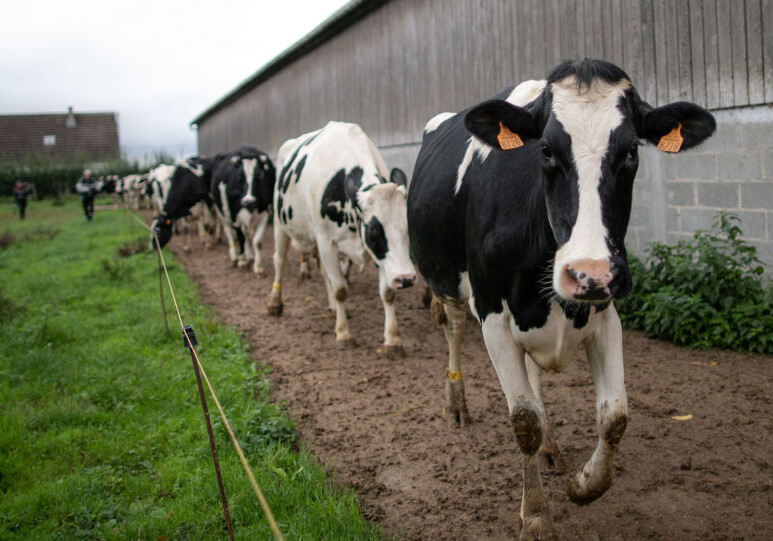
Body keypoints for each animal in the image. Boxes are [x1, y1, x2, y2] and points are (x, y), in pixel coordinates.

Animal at [268, 121, 420, 354]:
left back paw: (332, 307)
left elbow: (387, 293)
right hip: (280, 223)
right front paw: (343, 333)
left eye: (407, 226)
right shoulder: (326, 241)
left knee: (324, 273)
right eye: (374, 229)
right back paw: (275, 303)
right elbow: (340, 289)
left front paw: (392, 339)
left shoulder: (378, 254)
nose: (406, 278)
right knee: (280, 260)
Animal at [408, 57, 716, 536]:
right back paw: (456, 405)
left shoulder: (606, 313)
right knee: (454, 331)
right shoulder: (493, 317)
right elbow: (523, 422)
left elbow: (615, 415)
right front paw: (535, 517)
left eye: (631, 150)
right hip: (450, 287)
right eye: (547, 151)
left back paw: (552, 446)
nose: (588, 273)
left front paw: (584, 485)